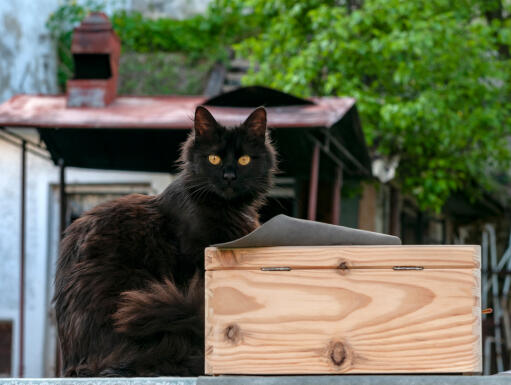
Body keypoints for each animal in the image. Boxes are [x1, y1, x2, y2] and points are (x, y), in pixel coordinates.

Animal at [53, 106, 276, 376]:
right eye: (214, 159)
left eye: (244, 160)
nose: (229, 176)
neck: (226, 207)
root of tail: (76, 363)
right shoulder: (194, 258)